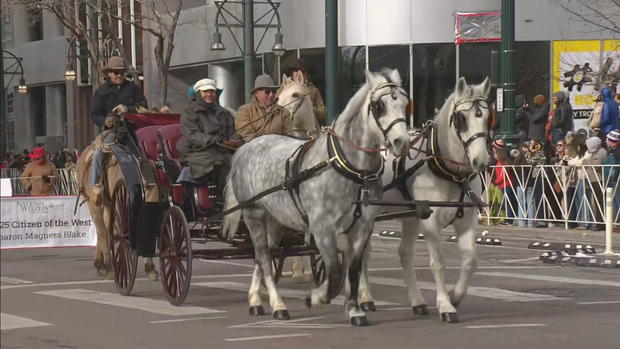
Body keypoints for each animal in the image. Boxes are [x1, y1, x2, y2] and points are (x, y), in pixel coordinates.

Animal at [76, 142, 159, 280]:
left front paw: (150, 268)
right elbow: (104, 232)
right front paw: (106, 267)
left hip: (107, 205)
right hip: (94, 204)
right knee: (102, 230)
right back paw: (103, 264)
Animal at [223, 68, 412, 326]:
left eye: (404, 103)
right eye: (379, 106)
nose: (402, 142)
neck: (351, 169)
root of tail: (244, 148)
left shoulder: (363, 226)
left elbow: (352, 268)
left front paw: (355, 310)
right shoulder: (322, 227)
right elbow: (334, 269)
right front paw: (317, 297)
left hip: (274, 220)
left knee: (264, 256)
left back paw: (255, 300)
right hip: (253, 214)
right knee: (262, 256)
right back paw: (278, 304)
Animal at [358, 75, 490, 320]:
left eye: (487, 118)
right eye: (461, 119)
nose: (481, 161)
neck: (450, 173)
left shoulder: (466, 219)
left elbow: (470, 260)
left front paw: (455, 295)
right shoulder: (431, 221)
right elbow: (438, 263)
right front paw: (445, 305)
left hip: (411, 216)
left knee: (404, 253)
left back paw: (417, 301)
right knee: (362, 251)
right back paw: (365, 297)